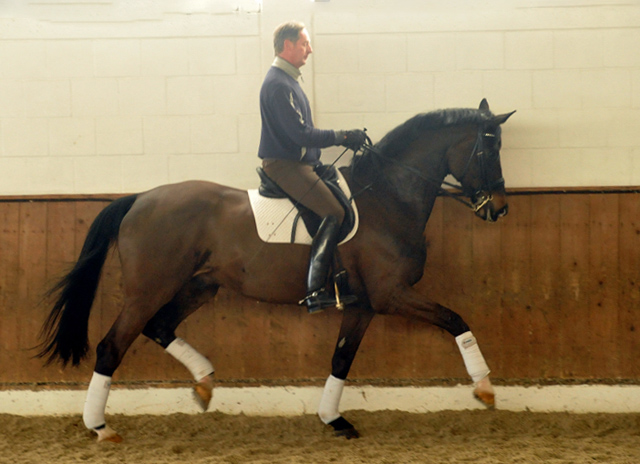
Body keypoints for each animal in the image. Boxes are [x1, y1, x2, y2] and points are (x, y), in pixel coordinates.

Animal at [37, 99, 516, 442]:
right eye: (489, 148)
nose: (498, 209)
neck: (387, 197)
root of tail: (139, 198)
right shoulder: (390, 294)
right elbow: (456, 319)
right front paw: (485, 388)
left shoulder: (362, 304)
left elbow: (342, 358)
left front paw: (333, 418)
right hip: (148, 290)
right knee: (111, 346)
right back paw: (101, 427)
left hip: (199, 285)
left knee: (159, 327)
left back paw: (204, 382)